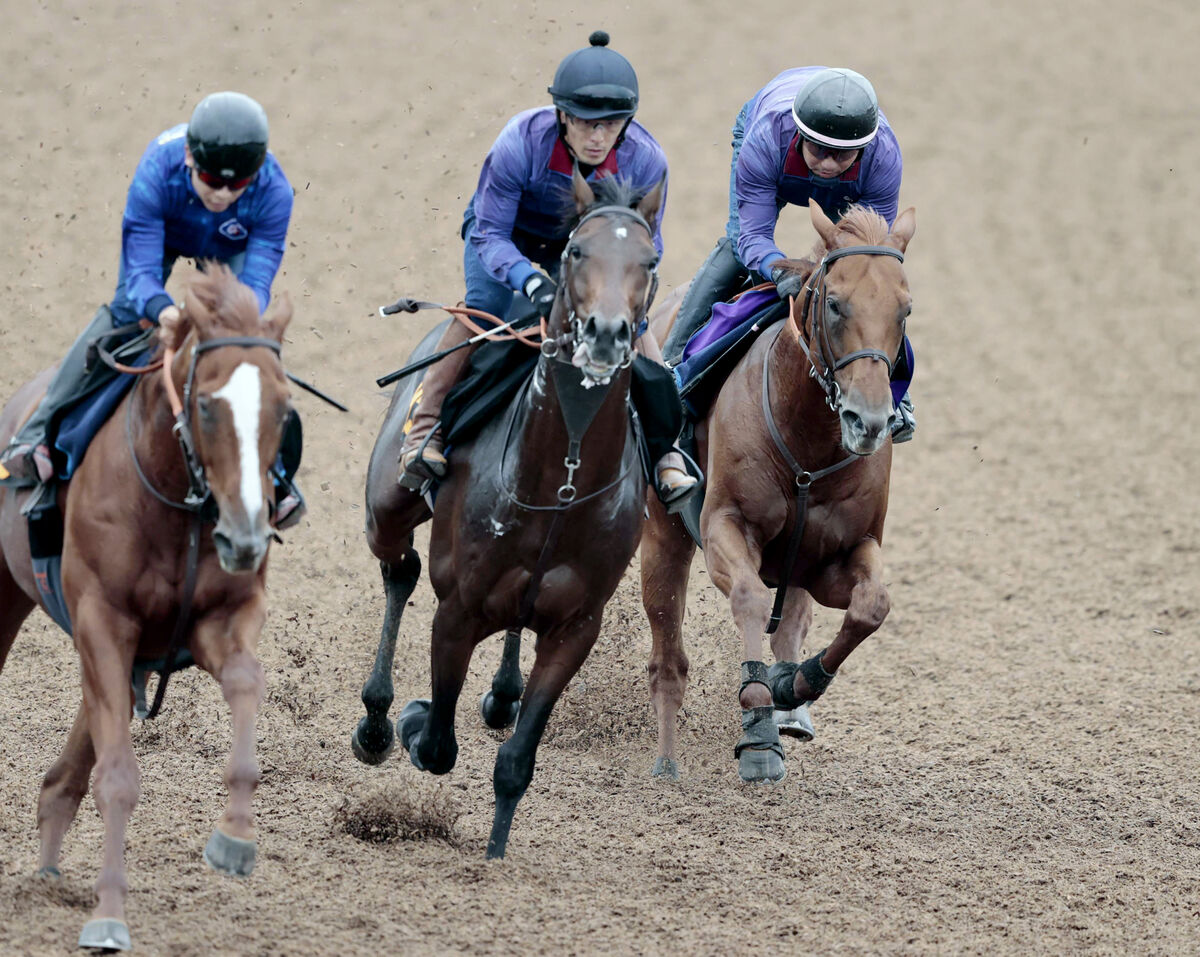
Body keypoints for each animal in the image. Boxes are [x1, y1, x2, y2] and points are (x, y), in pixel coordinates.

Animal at [0, 266, 295, 954]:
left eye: (282, 406)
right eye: (207, 404)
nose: (248, 535)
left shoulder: (217, 620)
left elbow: (248, 683)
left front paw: (234, 838)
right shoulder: (103, 623)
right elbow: (117, 778)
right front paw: (108, 914)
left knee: (68, 771)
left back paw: (47, 871)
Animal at [350, 172, 662, 863]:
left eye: (649, 261)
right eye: (576, 251)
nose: (606, 333)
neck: (560, 484)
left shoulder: (577, 625)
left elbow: (516, 762)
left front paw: (494, 856)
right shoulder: (458, 609)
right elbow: (438, 742)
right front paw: (410, 720)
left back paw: (500, 694)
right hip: (385, 508)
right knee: (399, 569)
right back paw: (378, 719)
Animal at [643, 200, 912, 786]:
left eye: (905, 311)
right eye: (834, 303)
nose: (869, 421)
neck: (807, 448)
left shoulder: (837, 554)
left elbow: (870, 606)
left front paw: (796, 685)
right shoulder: (725, 523)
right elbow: (748, 597)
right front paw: (758, 724)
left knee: (792, 621)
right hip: (661, 532)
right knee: (667, 656)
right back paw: (666, 761)